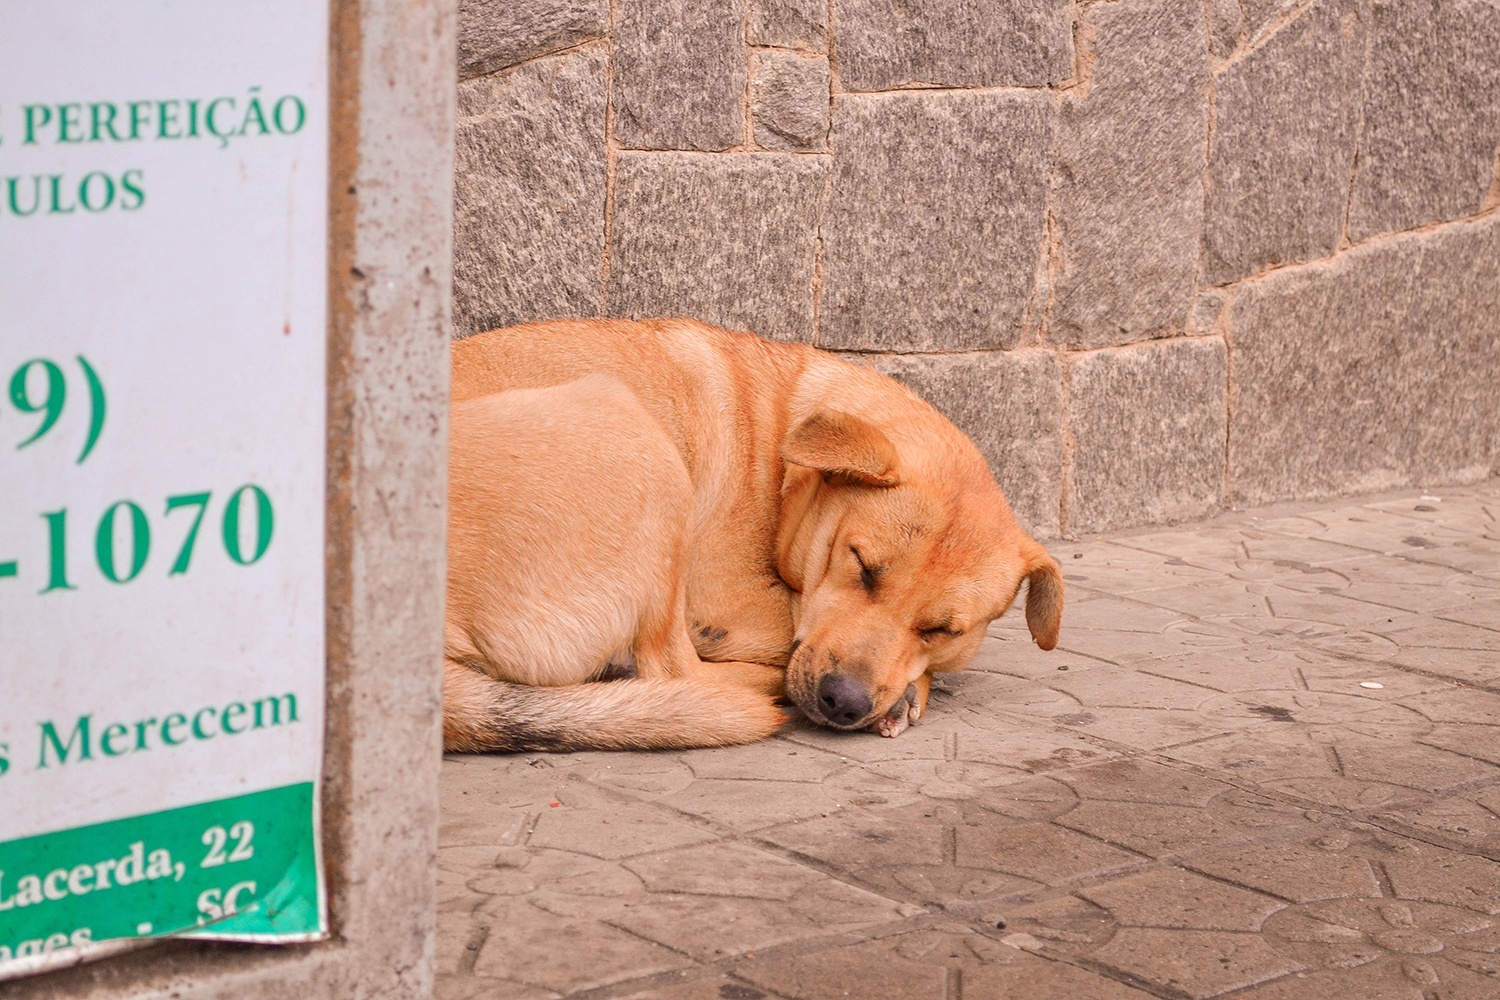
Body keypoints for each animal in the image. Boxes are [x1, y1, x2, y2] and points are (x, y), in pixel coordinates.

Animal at [438, 319, 1062, 749]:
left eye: (941, 629)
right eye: (860, 565)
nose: (844, 702)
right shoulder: (727, 602)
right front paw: (911, 692)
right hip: (638, 434)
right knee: (677, 674)